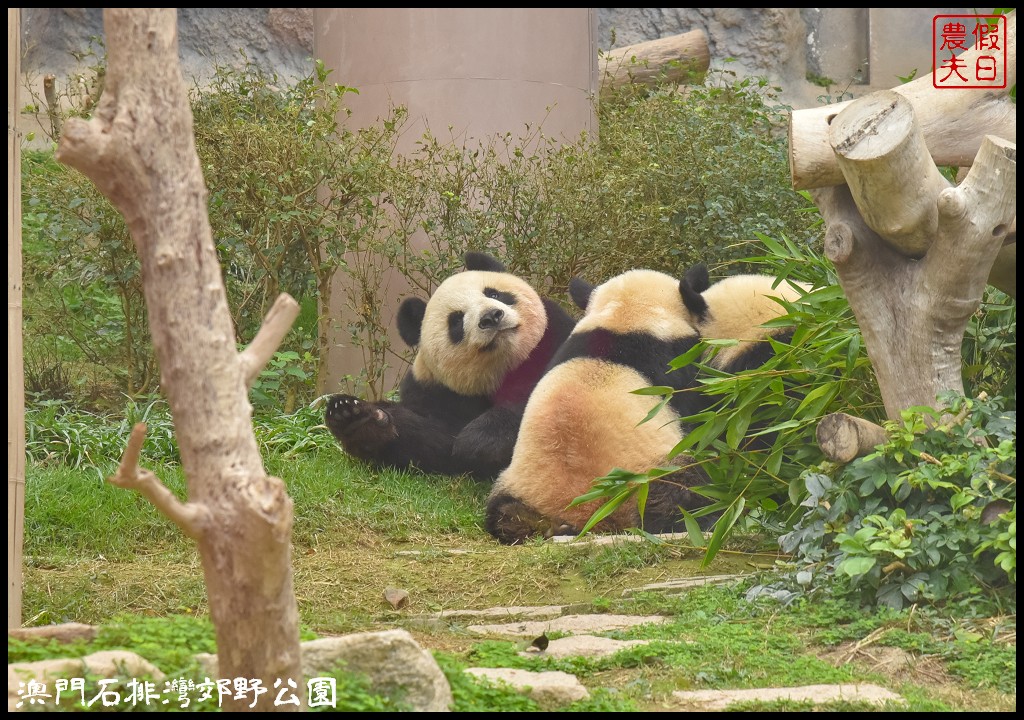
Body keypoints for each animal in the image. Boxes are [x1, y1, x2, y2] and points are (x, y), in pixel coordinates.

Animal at [325, 250, 577, 481]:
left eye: (494, 293)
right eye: (456, 320)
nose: (491, 316)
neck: (503, 368)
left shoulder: (557, 337)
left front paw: (481, 439)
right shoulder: (436, 393)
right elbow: (436, 444)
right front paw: (353, 416)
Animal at [483, 262, 802, 544]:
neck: (626, 317)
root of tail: (586, 514)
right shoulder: (680, 366)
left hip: (519, 484)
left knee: (504, 514)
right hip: (651, 473)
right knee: (684, 493)